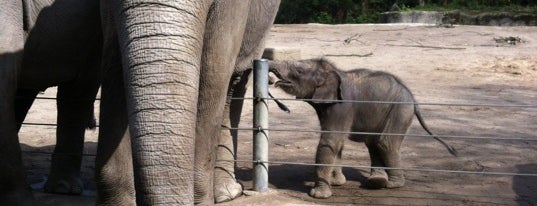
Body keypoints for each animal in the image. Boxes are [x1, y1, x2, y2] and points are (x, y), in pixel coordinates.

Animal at [268, 58, 456, 200]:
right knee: (374, 143)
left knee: (385, 143)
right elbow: (338, 143)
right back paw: (376, 181)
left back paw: (392, 184)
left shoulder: (342, 106)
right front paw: (336, 183)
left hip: (400, 110)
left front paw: (318, 194)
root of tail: (413, 98)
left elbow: (330, 141)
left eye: (298, 71)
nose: (270, 79)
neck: (334, 72)